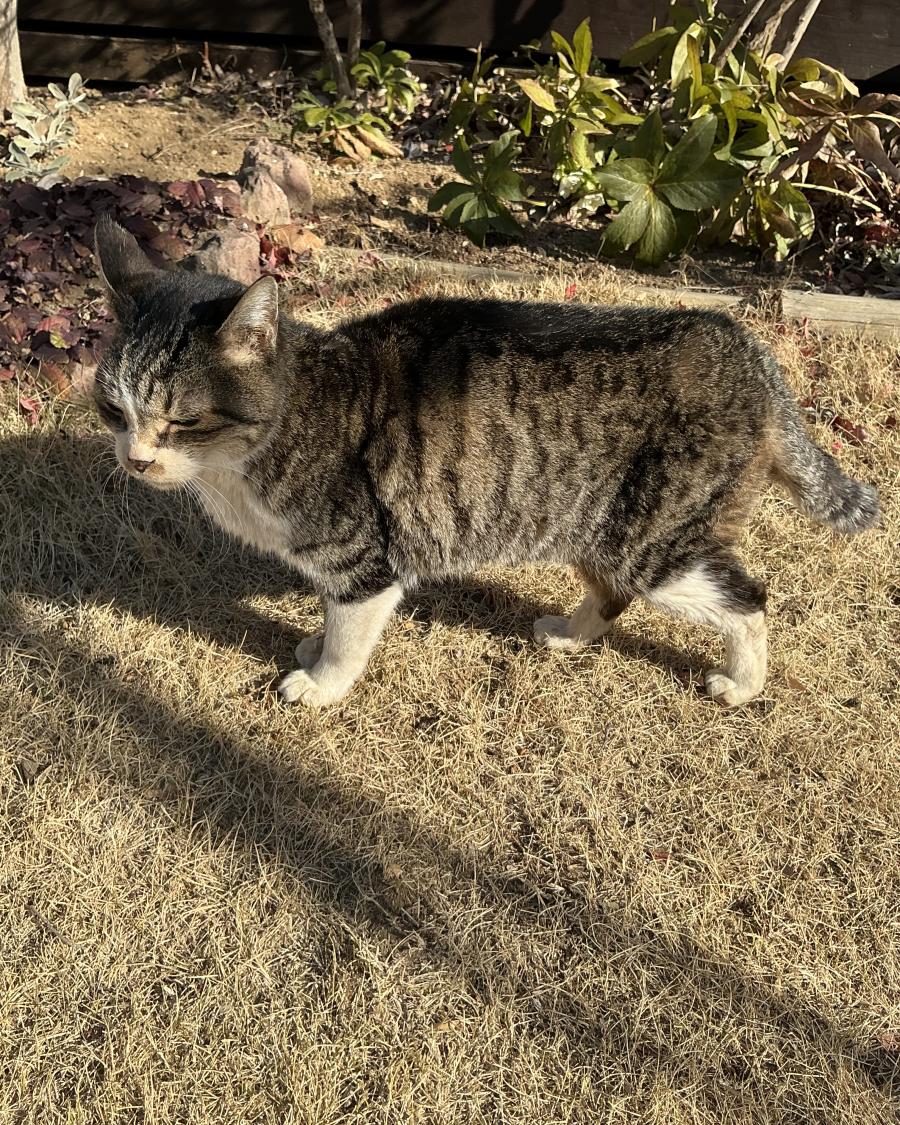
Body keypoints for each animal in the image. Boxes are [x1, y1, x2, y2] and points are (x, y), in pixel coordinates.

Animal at [91, 216, 879, 709]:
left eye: (183, 420)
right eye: (112, 410)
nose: (136, 461)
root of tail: (744, 346)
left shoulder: (365, 563)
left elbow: (349, 639)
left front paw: (320, 682)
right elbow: (326, 618)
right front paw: (311, 648)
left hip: (656, 543)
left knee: (748, 598)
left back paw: (742, 683)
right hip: (598, 523)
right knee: (611, 591)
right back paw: (568, 633)